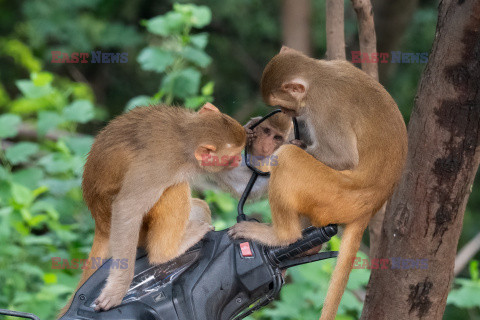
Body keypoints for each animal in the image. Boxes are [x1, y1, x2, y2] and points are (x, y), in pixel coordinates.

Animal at [62, 103, 244, 312]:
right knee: (174, 188)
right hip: (139, 231)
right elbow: (127, 207)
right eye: (233, 157)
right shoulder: (160, 165)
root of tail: (101, 224)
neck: (184, 138)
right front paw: (118, 289)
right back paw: (166, 251)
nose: (240, 161)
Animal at [230, 46, 408, 318]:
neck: (318, 75)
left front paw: (269, 155)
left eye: (281, 105)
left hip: (332, 195)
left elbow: (343, 157)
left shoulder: (325, 107)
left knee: (290, 158)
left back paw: (282, 236)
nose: (288, 114)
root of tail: (369, 208)